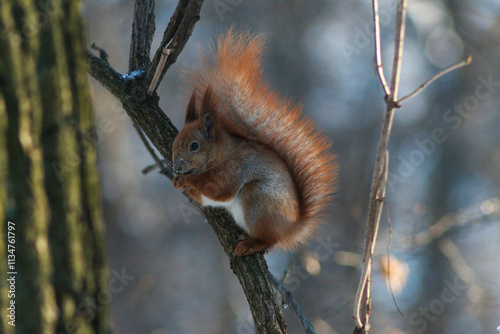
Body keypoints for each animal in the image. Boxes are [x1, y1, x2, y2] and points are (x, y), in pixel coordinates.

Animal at [170, 30, 338, 256]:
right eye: (175, 143)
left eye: (194, 146)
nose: (176, 166)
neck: (219, 153)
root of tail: (291, 227)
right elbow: (206, 200)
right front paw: (177, 182)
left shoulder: (232, 170)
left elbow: (219, 190)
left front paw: (189, 180)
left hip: (258, 200)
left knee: (270, 240)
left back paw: (252, 244)